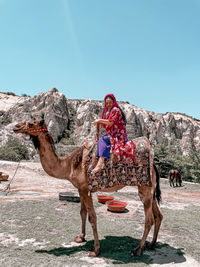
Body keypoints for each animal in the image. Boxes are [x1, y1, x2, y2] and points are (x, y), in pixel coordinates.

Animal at [12, 120, 162, 258]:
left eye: (31, 124)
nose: (16, 127)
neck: (69, 164)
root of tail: (153, 165)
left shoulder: (85, 189)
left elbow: (92, 217)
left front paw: (95, 250)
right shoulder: (80, 189)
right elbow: (82, 212)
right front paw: (80, 237)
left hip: (144, 188)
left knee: (149, 219)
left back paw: (138, 250)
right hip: (150, 190)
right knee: (158, 215)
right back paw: (151, 244)